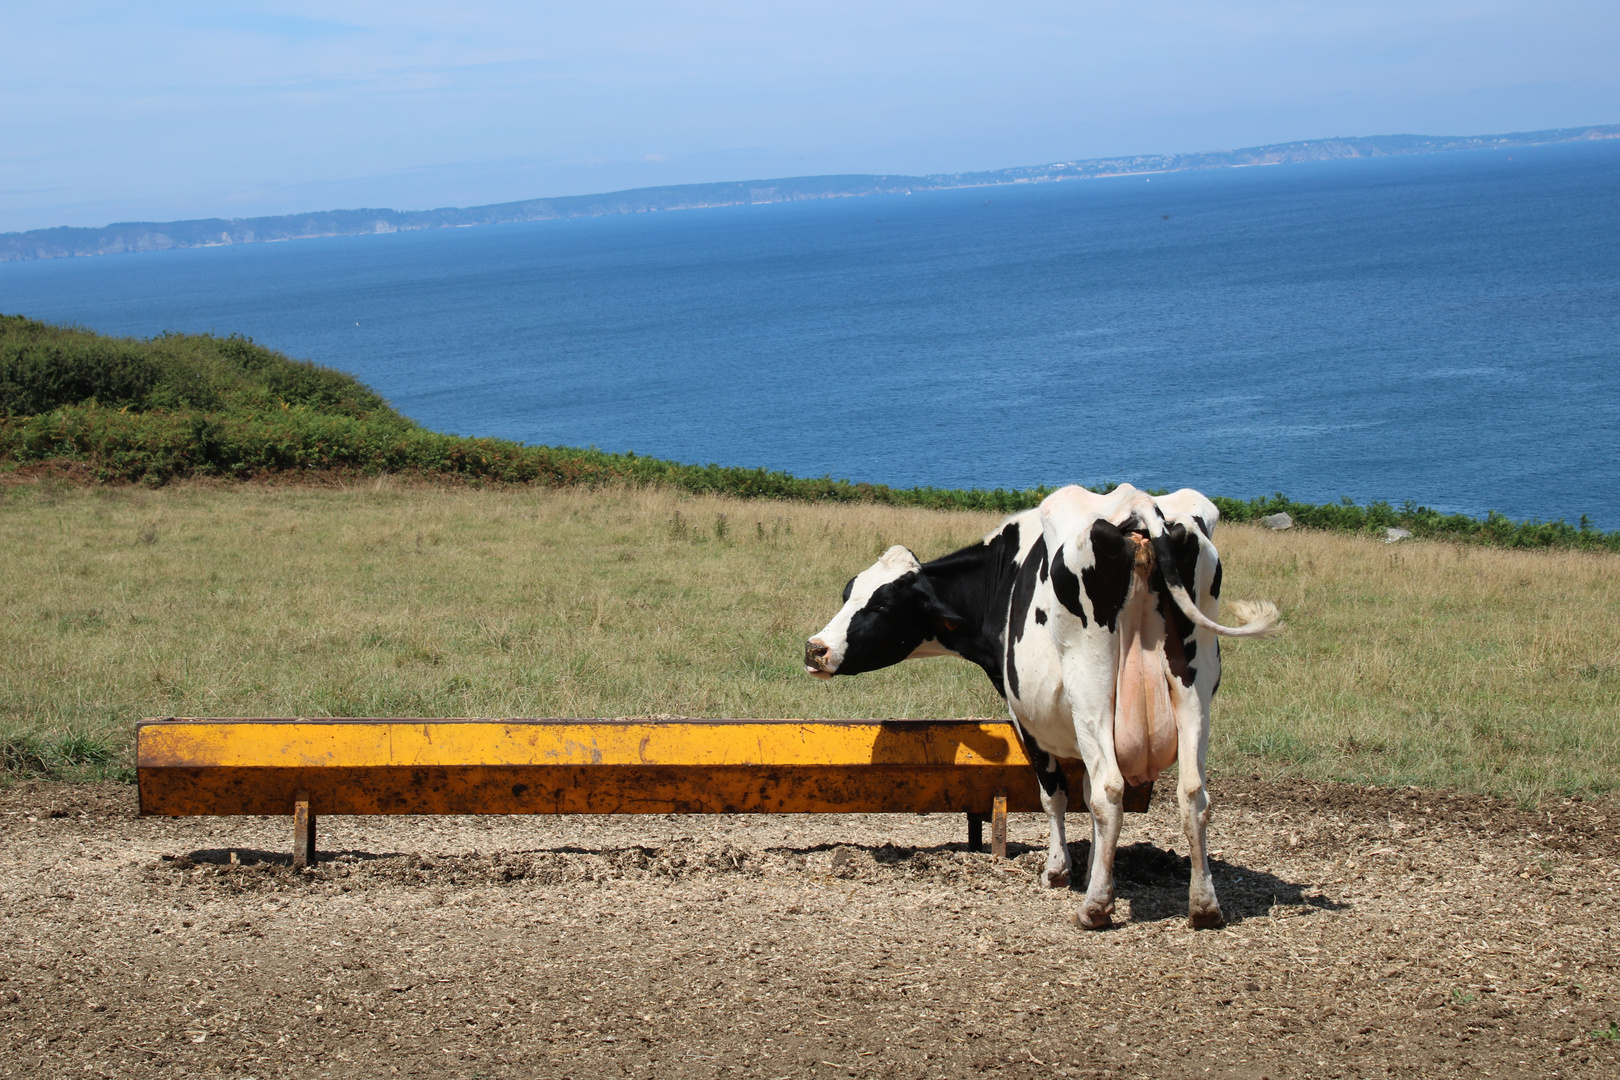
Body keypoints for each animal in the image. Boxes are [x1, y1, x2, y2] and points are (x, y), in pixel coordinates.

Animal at [800, 482, 1276, 932]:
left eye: (882, 604)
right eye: (848, 592)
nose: (815, 649)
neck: (1000, 578)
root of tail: (1139, 505)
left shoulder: (1024, 717)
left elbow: (1057, 794)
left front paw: (1060, 871)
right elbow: (1083, 791)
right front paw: (1094, 869)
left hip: (1092, 689)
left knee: (1110, 790)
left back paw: (1095, 909)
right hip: (1193, 687)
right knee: (1193, 792)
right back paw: (1204, 906)